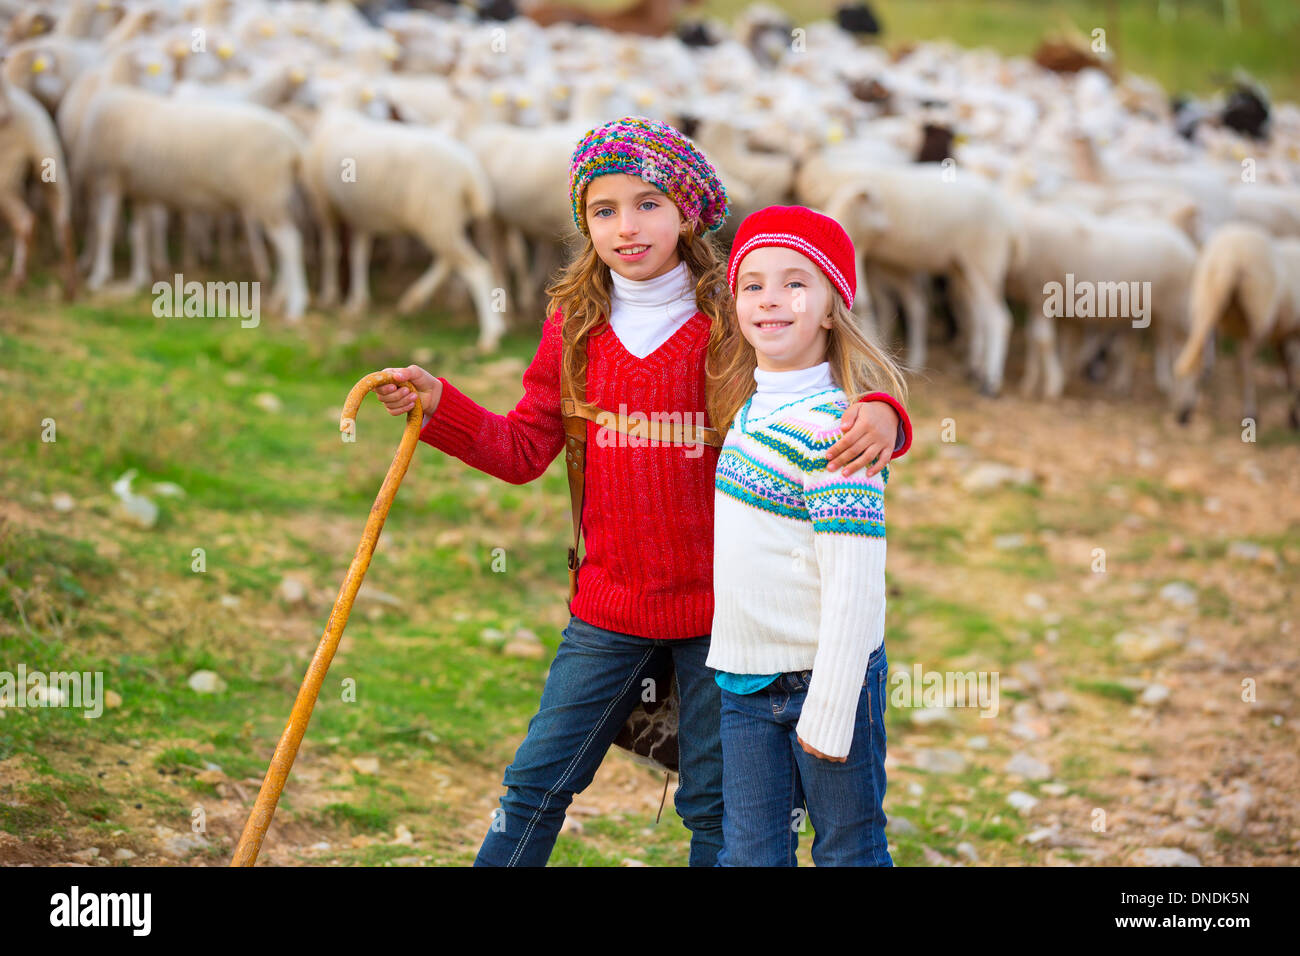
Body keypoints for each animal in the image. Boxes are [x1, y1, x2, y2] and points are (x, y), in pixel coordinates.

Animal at [1175, 222, 1300, 429]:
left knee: (1201, 360)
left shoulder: (1282, 336)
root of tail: (1229, 258)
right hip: (1256, 317)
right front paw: (1293, 415)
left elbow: (1288, 369)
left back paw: (1186, 409)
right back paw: (1251, 413)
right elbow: (1291, 368)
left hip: (1206, 305)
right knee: (1244, 364)